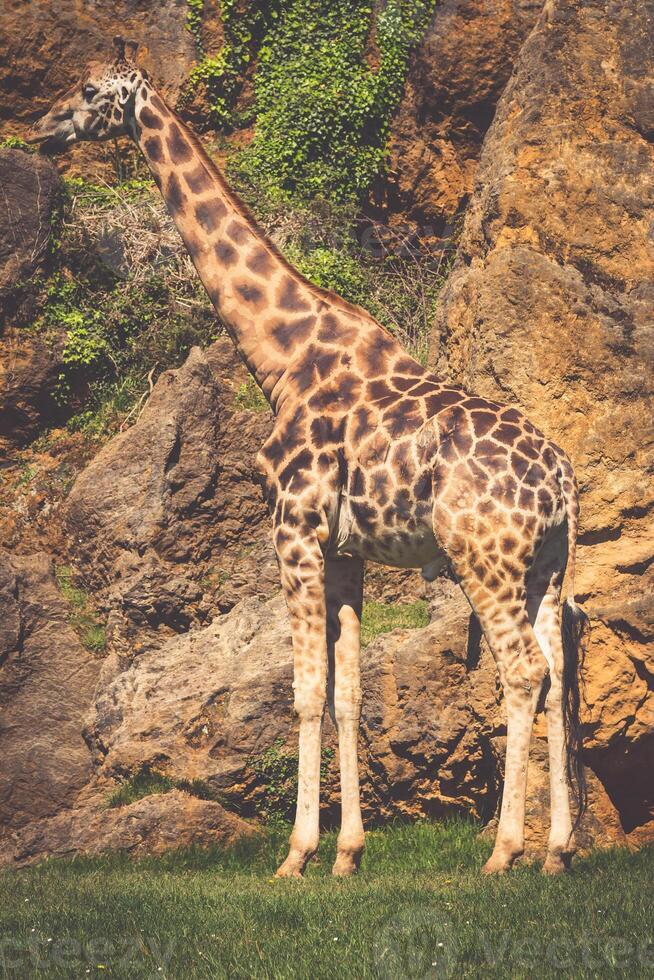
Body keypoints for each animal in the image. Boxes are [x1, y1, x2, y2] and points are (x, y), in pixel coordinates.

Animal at [29, 40, 588, 880]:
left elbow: (301, 692)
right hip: (548, 565)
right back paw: (556, 851)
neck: (281, 356)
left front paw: (295, 855)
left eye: (91, 90)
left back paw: (503, 852)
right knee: (554, 675)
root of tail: (562, 488)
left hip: (481, 556)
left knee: (521, 671)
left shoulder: (291, 530)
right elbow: (349, 693)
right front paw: (348, 854)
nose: (43, 127)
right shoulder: (346, 548)